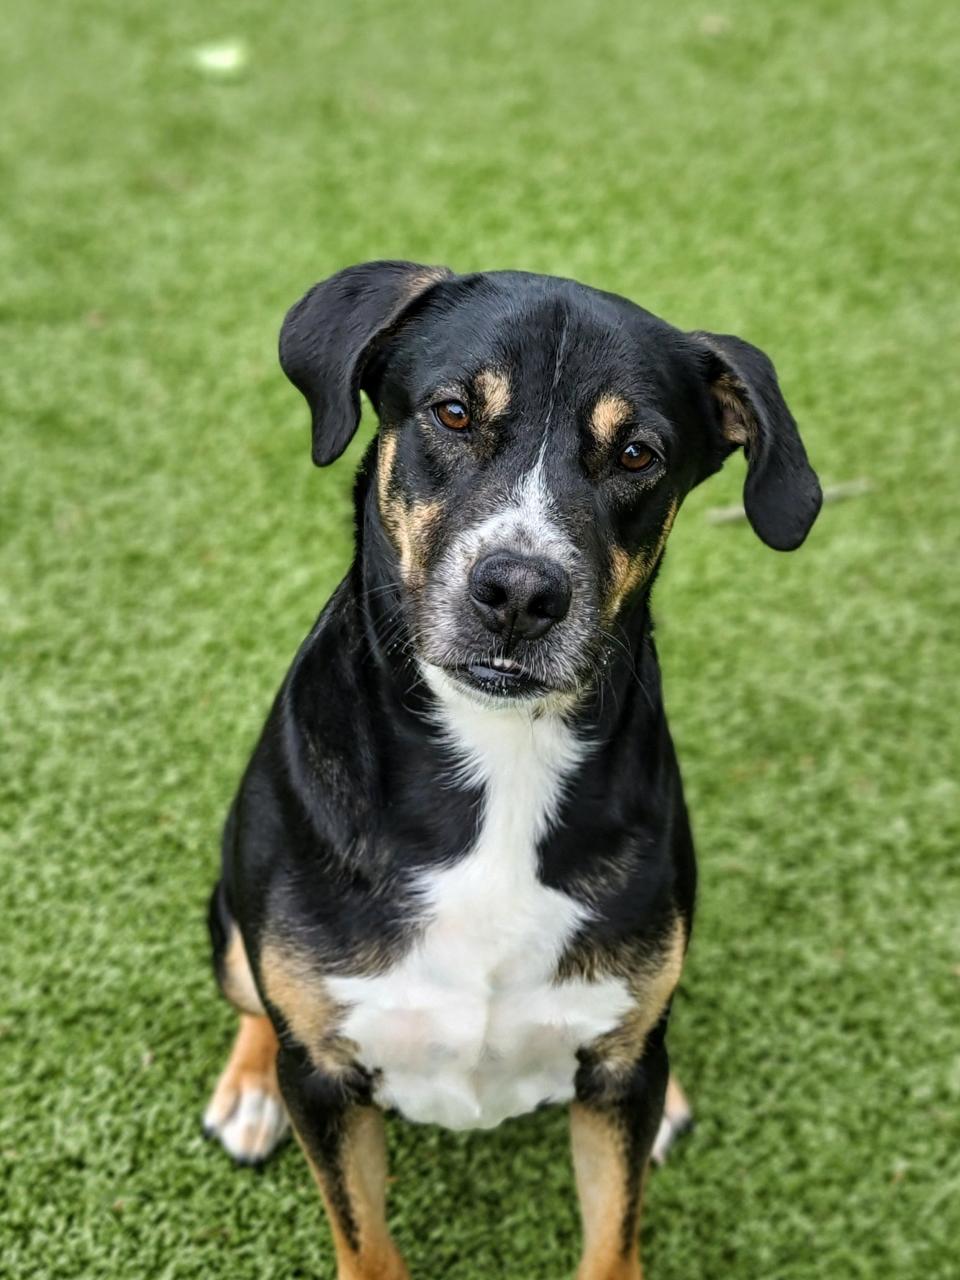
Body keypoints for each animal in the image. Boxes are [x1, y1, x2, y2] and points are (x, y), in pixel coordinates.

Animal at [200, 262, 819, 1280]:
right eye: (453, 413)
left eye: (638, 453)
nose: (521, 592)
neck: (501, 756)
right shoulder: (327, 1087)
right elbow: (365, 1242)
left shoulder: (616, 1079)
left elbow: (614, 1239)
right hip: (229, 921)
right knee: (256, 996)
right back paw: (250, 1086)